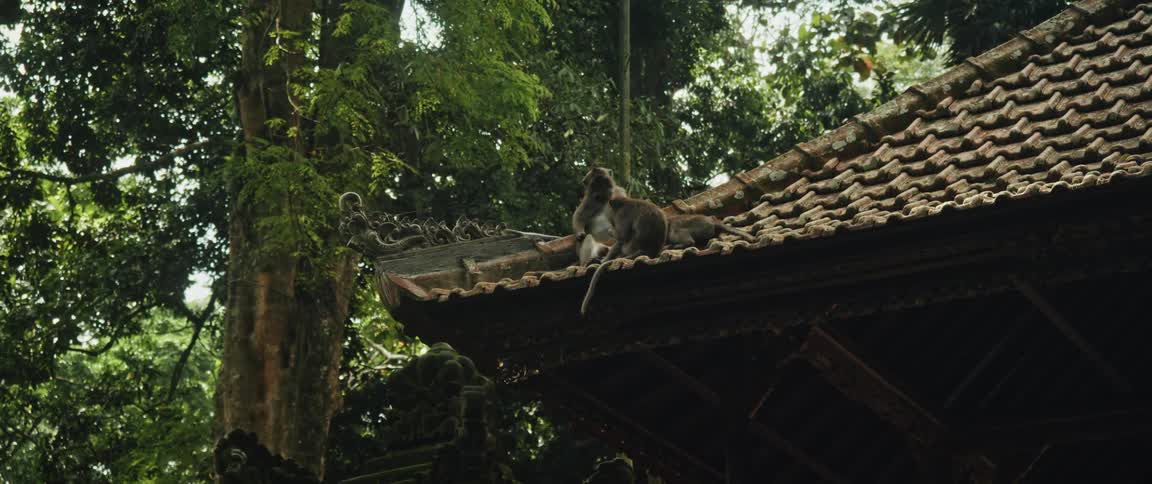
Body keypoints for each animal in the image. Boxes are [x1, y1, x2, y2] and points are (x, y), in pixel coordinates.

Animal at [579, 169, 667, 316]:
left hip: (629, 247)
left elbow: (622, 236)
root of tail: (649, 250)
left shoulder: (622, 215)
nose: (611, 222)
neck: (625, 201)